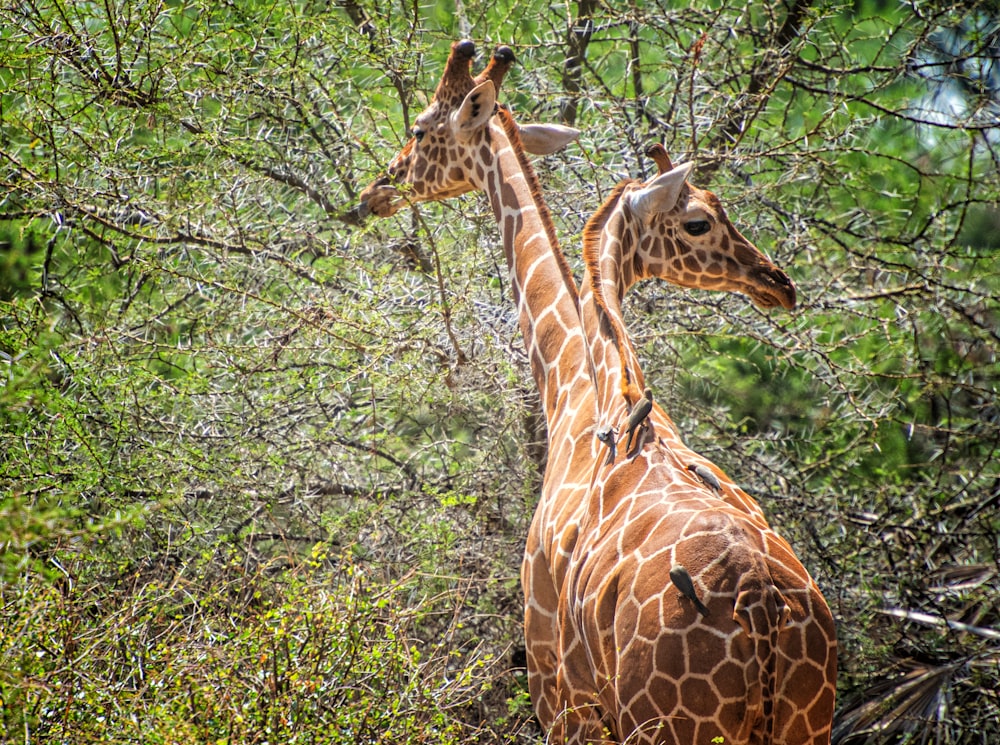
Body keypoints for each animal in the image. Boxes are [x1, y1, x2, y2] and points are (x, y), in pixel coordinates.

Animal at [352, 42, 836, 744]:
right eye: (704, 217)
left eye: (419, 129)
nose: (379, 187)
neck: (582, 392)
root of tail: (761, 609)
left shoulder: (556, 681)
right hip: (804, 721)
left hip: (655, 721)